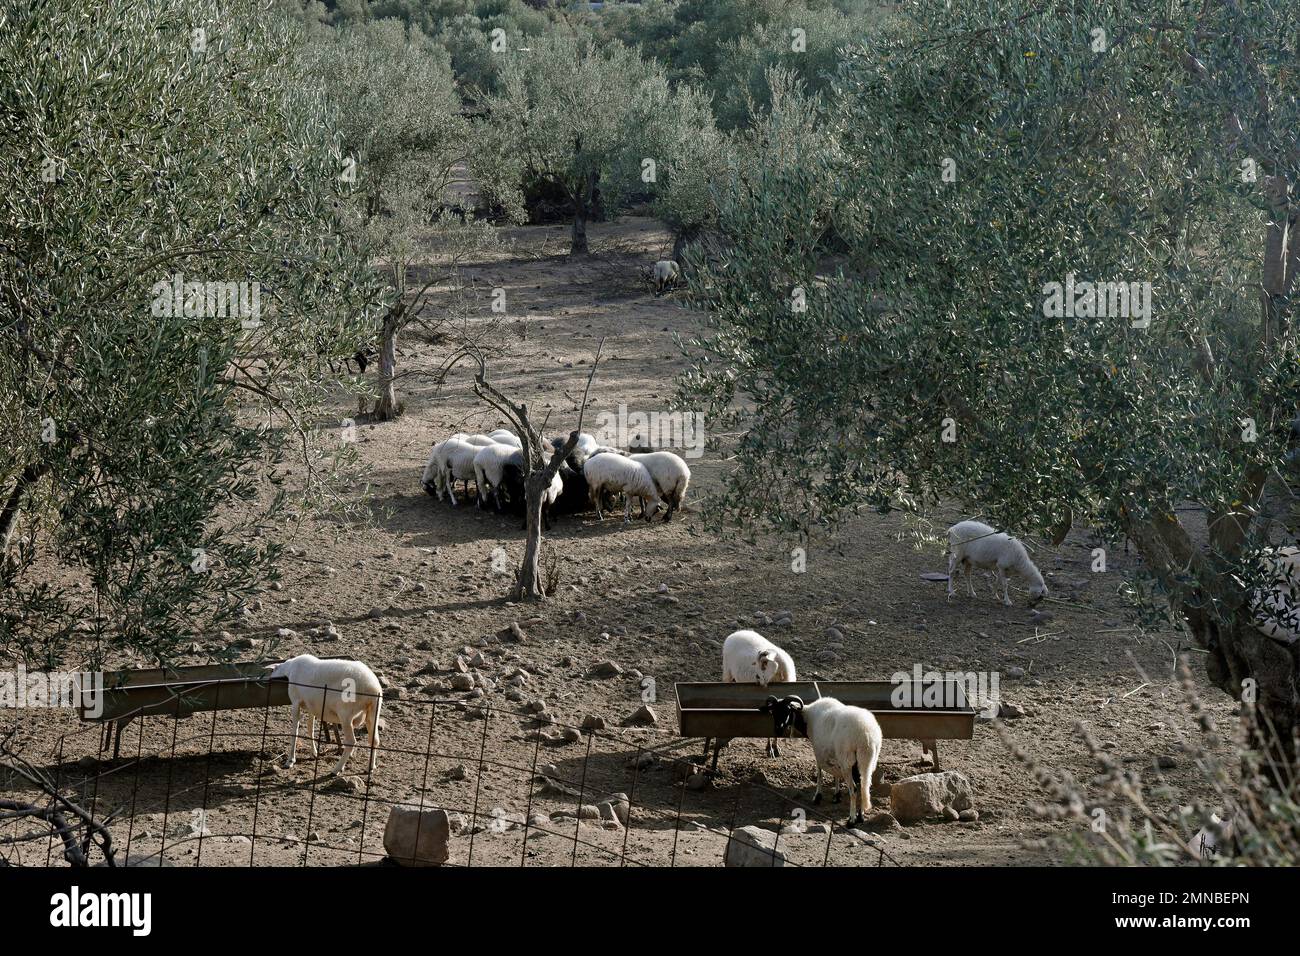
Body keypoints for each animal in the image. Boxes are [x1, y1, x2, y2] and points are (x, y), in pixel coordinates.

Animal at [759, 691, 883, 827]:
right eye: (773, 712)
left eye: (787, 710)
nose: (778, 730)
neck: (807, 717)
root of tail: (866, 736)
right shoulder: (832, 753)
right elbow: (835, 774)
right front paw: (836, 795)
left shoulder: (818, 751)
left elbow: (819, 772)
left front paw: (817, 796)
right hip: (866, 760)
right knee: (863, 785)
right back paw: (860, 817)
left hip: (847, 759)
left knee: (854, 789)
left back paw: (851, 820)